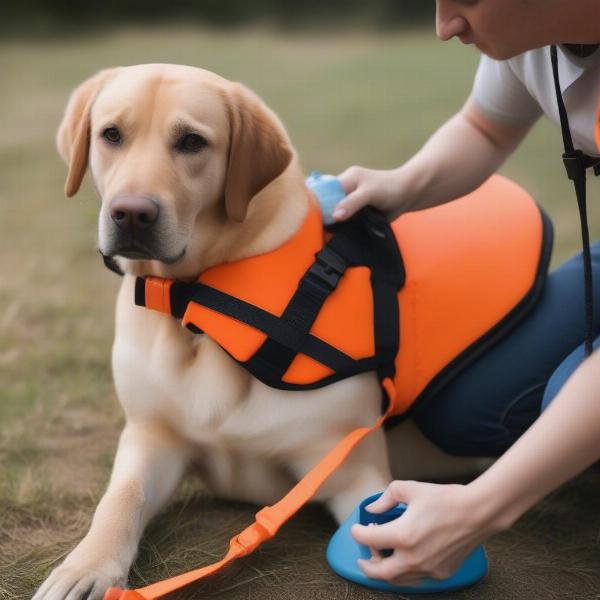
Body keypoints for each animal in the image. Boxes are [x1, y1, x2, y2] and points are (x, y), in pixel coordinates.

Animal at [36, 64, 478, 600]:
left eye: (192, 142)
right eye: (111, 135)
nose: (132, 213)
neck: (195, 301)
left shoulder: (348, 466)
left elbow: (376, 513)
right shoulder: (151, 438)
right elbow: (120, 499)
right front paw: (86, 567)